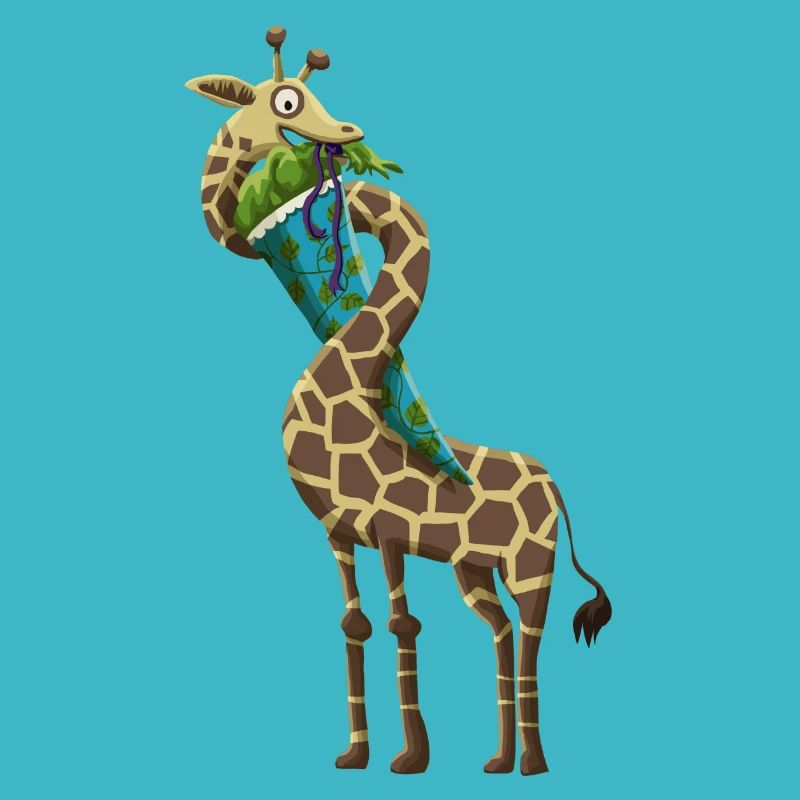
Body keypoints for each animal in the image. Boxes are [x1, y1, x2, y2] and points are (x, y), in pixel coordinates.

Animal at [187, 25, 612, 776]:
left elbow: (400, 621)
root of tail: (556, 487)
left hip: (533, 565)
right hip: (476, 568)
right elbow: (354, 623)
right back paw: (497, 761)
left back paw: (534, 763)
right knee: (500, 630)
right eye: (286, 100)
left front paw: (410, 757)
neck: (351, 390)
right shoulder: (339, 533)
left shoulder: (389, 530)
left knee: (533, 637)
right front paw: (354, 754)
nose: (348, 133)